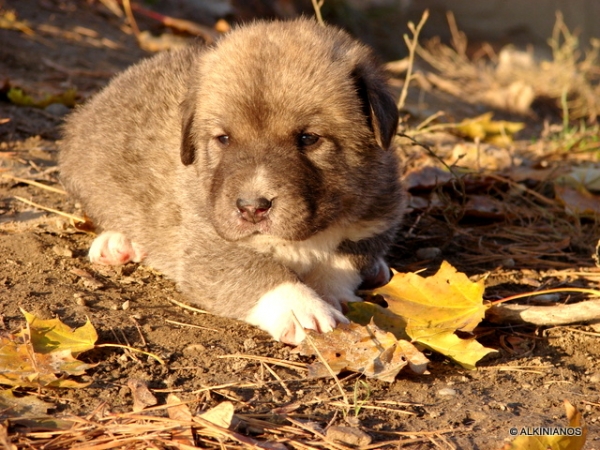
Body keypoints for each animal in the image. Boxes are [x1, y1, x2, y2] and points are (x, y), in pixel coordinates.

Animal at [58, 19, 406, 344]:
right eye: (223, 139)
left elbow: (341, 262)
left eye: (309, 138)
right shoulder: (208, 242)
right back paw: (117, 242)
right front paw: (303, 308)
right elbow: (257, 271)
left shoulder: (372, 221)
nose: (252, 208)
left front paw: (330, 292)